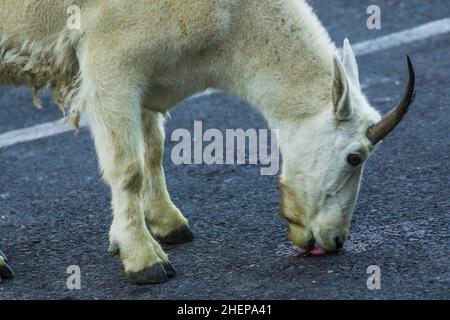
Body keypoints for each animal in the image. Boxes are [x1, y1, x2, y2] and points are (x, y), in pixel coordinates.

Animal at [0, 0, 414, 284]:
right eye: (354, 157)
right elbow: (128, 168)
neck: (232, 25)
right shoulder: (111, 66)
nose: (335, 241)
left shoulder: (146, 80)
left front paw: (168, 224)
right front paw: (144, 259)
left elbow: (153, 151)